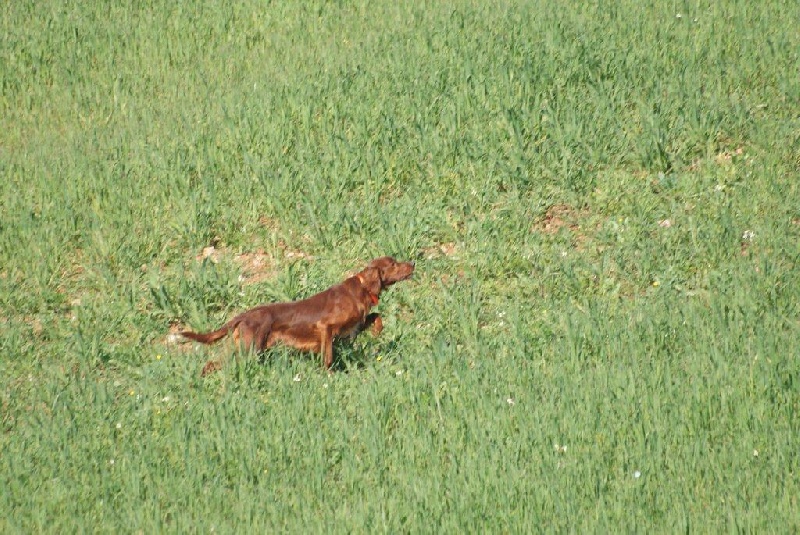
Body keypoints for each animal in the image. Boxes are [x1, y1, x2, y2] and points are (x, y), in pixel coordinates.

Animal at [182, 258, 416, 374]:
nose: (412, 263)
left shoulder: (352, 326)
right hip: (250, 348)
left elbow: (376, 316)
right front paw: (329, 376)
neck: (361, 289)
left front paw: (378, 331)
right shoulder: (325, 327)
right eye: (393, 264)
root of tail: (244, 315)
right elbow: (328, 356)